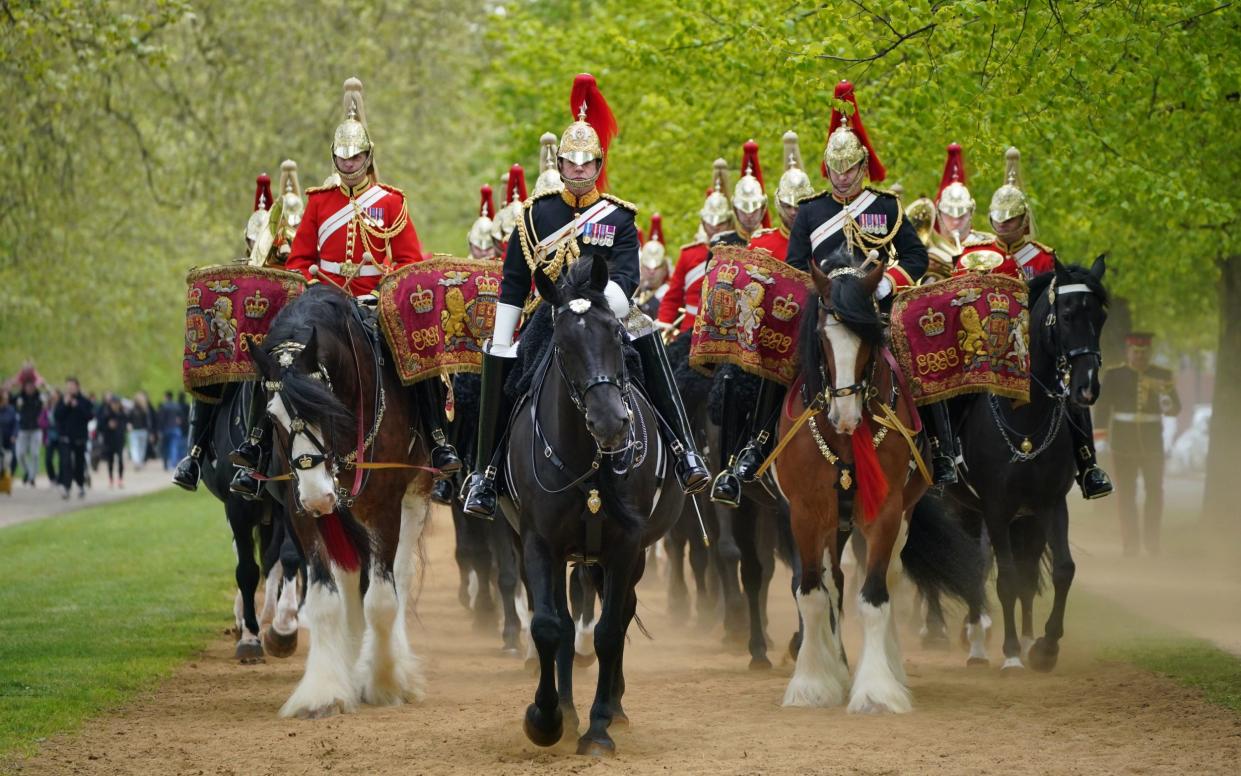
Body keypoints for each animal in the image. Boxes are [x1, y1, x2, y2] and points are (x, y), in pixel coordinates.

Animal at [249, 284, 434, 720]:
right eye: (272, 418)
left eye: (327, 408)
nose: (319, 494)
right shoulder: (302, 515)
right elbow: (324, 599)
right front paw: (323, 691)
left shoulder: (384, 507)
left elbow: (382, 601)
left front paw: (384, 682)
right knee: (350, 579)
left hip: (413, 496)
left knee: (398, 577)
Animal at [498, 255, 685, 754]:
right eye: (562, 346)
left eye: (617, 336)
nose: (611, 423)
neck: (589, 458)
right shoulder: (538, 544)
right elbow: (548, 626)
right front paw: (546, 718)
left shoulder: (626, 545)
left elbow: (608, 631)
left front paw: (599, 727)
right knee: (564, 620)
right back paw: (565, 707)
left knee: (621, 614)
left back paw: (613, 708)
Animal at [943, 257, 1111, 670]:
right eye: (1066, 314)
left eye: (1100, 316)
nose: (1087, 387)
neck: (1025, 416)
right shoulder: (996, 507)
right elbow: (1005, 578)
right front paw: (1012, 655)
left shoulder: (1050, 504)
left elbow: (1062, 570)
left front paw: (1045, 647)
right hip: (965, 508)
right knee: (974, 566)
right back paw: (977, 646)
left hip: (1025, 518)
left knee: (1027, 569)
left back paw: (1024, 636)